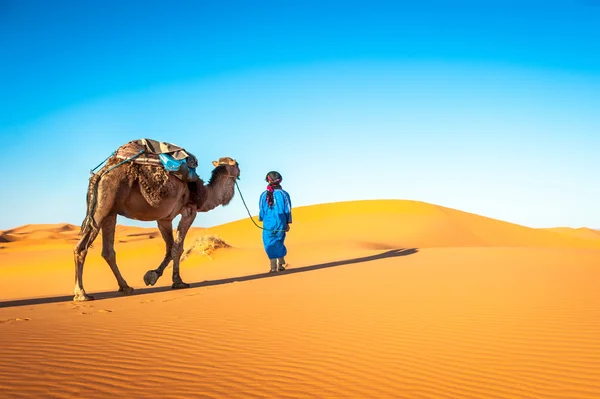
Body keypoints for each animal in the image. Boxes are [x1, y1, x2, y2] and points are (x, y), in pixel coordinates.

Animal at [75, 141, 241, 300]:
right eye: (237, 164)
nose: (240, 171)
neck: (206, 195)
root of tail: (101, 173)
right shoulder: (190, 210)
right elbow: (177, 248)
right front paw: (178, 282)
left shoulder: (164, 219)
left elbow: (170, 248)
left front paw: (151, 276)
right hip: (104, 203)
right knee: (82, 248)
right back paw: (82, 294)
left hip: (111, 212)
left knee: (108, 252)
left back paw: (125, 287)